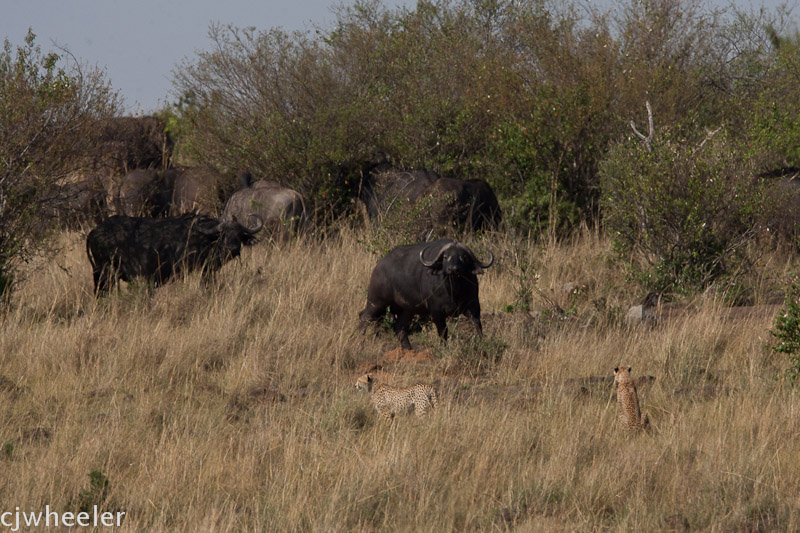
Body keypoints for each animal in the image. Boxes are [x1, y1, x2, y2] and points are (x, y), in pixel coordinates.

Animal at [87, 212, 262, 296]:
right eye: (223, 234)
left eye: (239, 234)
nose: (233, 248)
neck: (203, 239)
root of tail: (94, 232)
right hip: (105, 273)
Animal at [358, 238, 494, 350]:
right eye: (445, 257)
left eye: (464, 257)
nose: (453, 269)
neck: (454, 290)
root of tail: (379, 266)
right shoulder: (436, 311)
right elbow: (443, 331)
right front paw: (443, 348)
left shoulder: (474, 305)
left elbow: (477, 325)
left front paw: (482, 343)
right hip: (376, 302)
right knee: (364, 317)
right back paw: (360, 345)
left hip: (406, 310)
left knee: (400, 327)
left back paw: (409, 349)